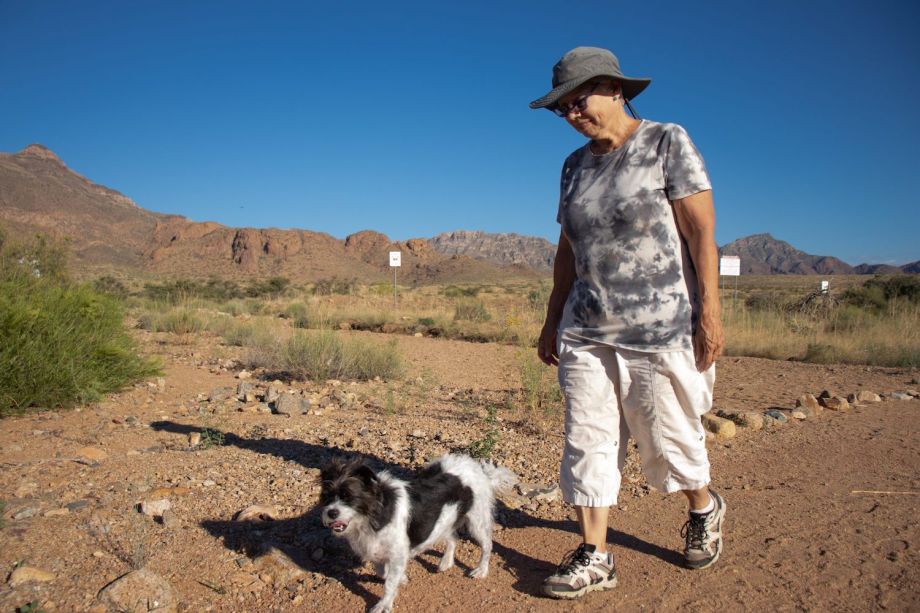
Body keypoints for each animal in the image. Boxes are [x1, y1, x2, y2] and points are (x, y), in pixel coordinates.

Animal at [318, 452, 516, 608]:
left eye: (348, 496)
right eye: (327, 496)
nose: (331, 512)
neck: (373, 514)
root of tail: (479, 469)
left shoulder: (397, 553)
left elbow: (389, 583)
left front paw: (384, 605)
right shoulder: (377, 549)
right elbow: (383, 572)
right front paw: (402, 578)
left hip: (476, 521)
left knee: (487, 546)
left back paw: (481, 570)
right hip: (447, 518)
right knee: (453, 537)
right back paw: (446, 562)